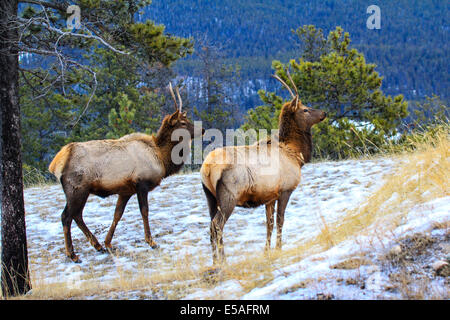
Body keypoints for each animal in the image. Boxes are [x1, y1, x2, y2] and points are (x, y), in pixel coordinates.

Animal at [49, 83, 204, 262]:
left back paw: (98, 245)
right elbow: (144, 211)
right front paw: (151, 241)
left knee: (77, 215)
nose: (203, 129)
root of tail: (55, 164)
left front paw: (108, 243)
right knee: (66, 216)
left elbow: (117, 214)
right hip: (77, 189)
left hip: (78, 191)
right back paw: (72, 254)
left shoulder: (125, 190)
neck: (161, 157)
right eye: (183, 123)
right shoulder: (141, 183)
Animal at [201, 71, 326, 264]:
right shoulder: (285, 189)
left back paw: (215, 261)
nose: (323, 113)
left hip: (210, 197)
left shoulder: (269, 196)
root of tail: (207, 168)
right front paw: (279, 248)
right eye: (305, 109)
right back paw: (223, 261)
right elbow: (281, 220)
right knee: (217, 225)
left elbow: (269, 223)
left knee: (210, 225)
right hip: (229, 195)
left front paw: (266, 251)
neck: (296, 155)